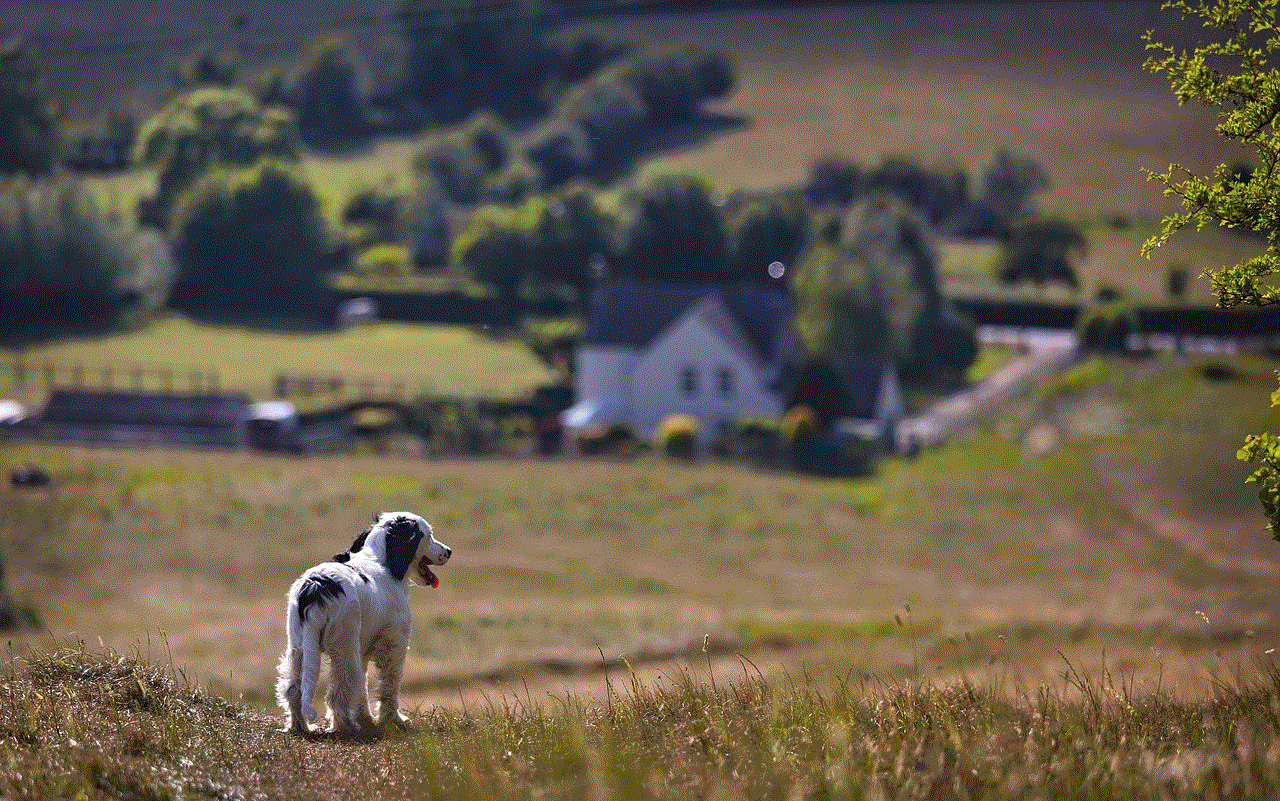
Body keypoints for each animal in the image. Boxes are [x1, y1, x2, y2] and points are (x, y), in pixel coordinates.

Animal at [275, 509, 450, 731]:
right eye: (429, 535)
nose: (449, 551)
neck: (381, 561)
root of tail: (316, 587)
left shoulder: (363, 650)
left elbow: (362, 690)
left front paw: (366, 718)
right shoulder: (394, 643)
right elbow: (389, 686)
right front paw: (394, 719)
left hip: (299, 646)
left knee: (293, 690)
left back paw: (300, 727)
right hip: (344, 646)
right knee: (339, 692)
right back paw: (346, 727)